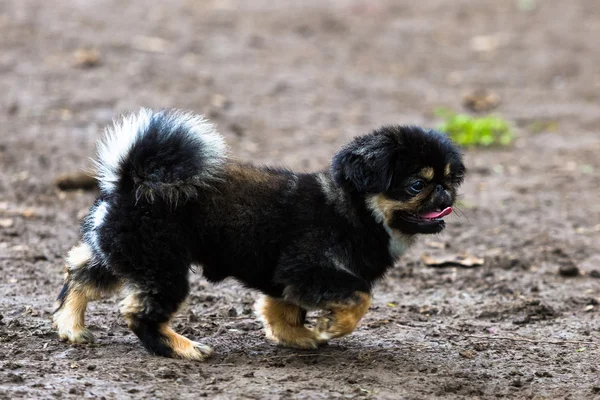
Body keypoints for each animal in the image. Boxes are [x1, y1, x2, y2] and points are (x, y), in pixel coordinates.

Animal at [52, 108, 464, 360]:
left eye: (449, 179)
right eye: (416, 185)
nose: (445, 195)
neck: (355, 211)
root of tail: (130, 181)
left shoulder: (286, 280)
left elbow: (280, 311)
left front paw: (299, 338)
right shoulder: (308, 269)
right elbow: (360, 297)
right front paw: (332, 327)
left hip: (121, 254)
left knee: (79, 274)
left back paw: (71, 327)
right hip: (161, 265)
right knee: (140, 314)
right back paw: (183, 349)